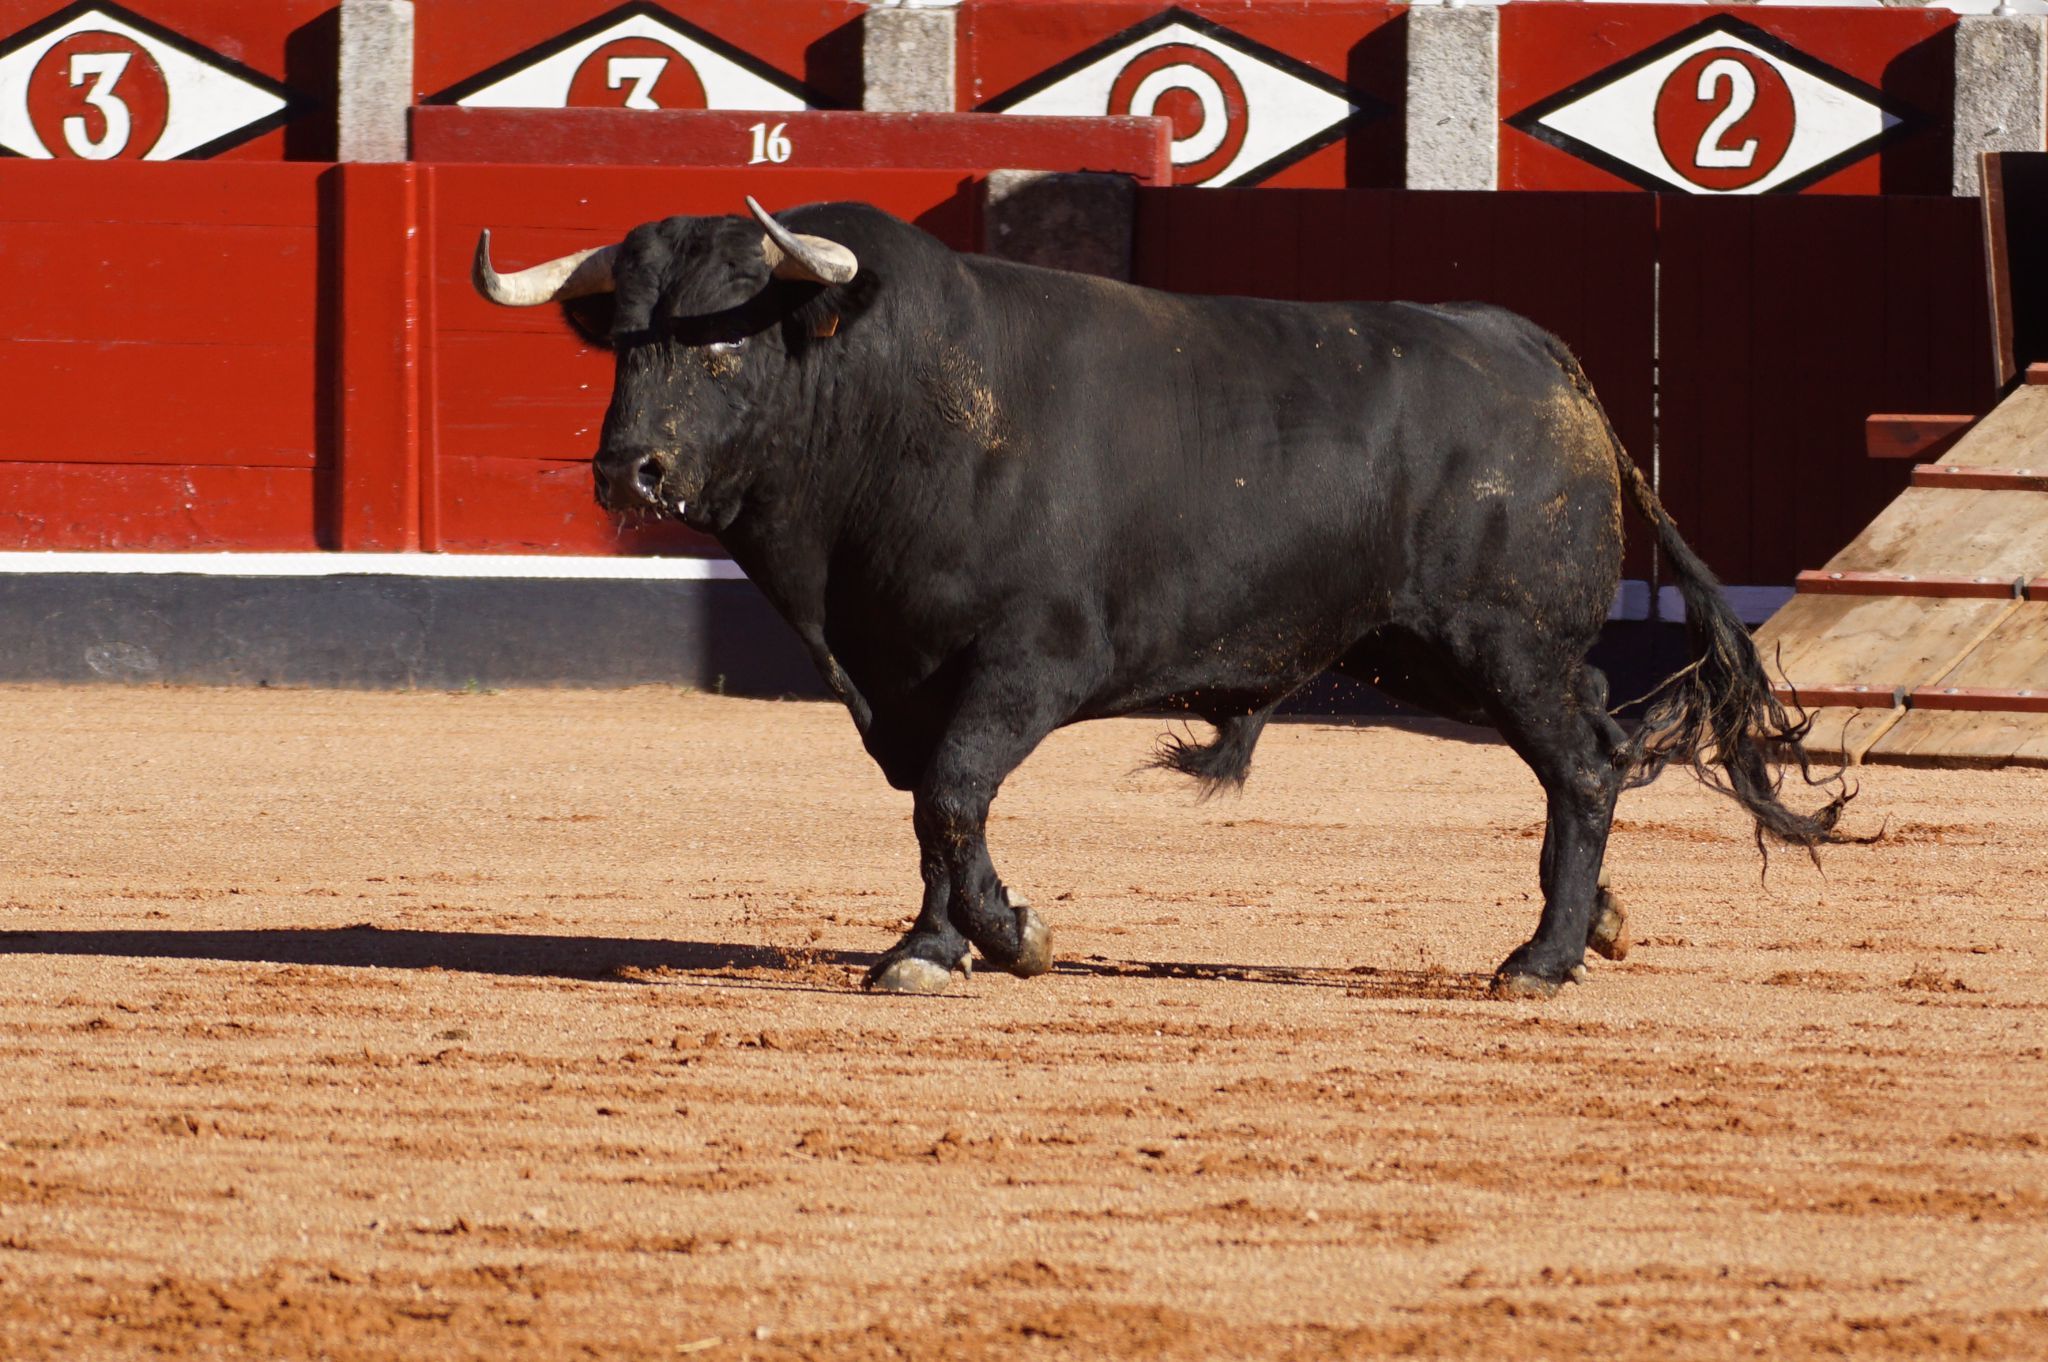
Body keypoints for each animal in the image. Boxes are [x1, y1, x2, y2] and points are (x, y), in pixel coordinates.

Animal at [471, 196, 1851, 995]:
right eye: (624, 339)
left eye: (723, 341)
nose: (626, 469)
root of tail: (1540, 353)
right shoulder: (897, 680)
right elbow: (929, 808)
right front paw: (931, 946)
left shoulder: (1025, 663)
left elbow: (954, 794)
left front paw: (1001, 941)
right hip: (1430, 654)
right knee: (1602, 743)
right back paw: (1600, 922)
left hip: (1496, 641)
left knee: (1579, 762)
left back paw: (1539, 959)